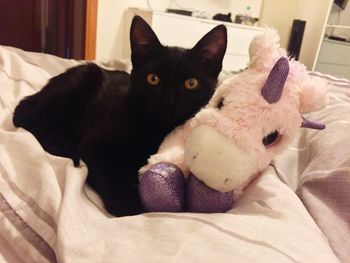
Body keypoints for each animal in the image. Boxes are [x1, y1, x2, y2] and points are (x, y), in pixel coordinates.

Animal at [12, 16, 227, 217]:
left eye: (191, 83)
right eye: (153, 79)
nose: (168, 101)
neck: (156, 130)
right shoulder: (93, 144)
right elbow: (111, 174)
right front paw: (130, 205)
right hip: (81, 79)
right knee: (31, 121)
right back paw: (66, 146)